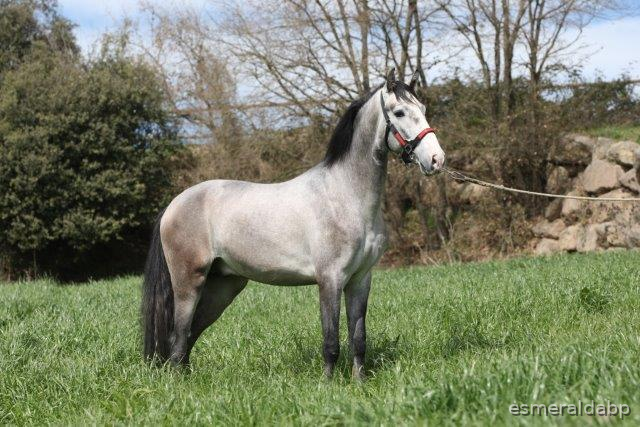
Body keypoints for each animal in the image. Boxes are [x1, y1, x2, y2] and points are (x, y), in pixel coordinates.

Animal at [141, 68, 446, 380]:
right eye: (399, 112)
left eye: (423, 109)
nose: (436, 160)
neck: (346, 195)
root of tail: (174, 204)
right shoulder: (330, 279)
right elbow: (331, 340)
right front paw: (328, 383)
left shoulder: (360, 280)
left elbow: (358, 338)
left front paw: (359, 381)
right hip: (189, 283)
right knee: (179, 335)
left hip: (222, 287)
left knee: (190, 334)